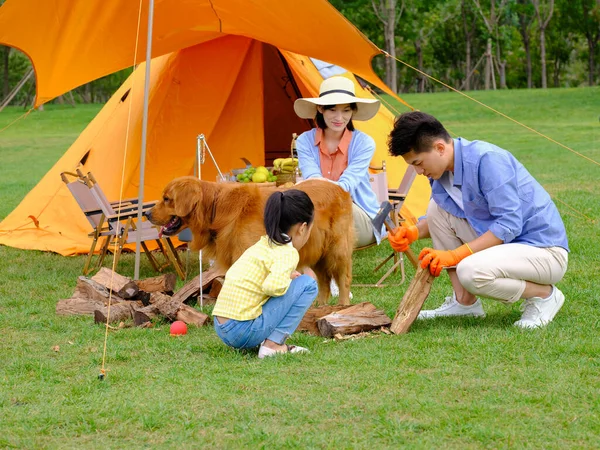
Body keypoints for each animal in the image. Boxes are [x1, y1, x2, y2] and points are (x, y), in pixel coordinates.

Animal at [146, 178, 354, 304]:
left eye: (167, 199)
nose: (147, 213)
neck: (216, 208)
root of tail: (340, 188)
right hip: (318, 252)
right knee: (324, 283)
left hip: (337, 251)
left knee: (343, 281)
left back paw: (341, 308)